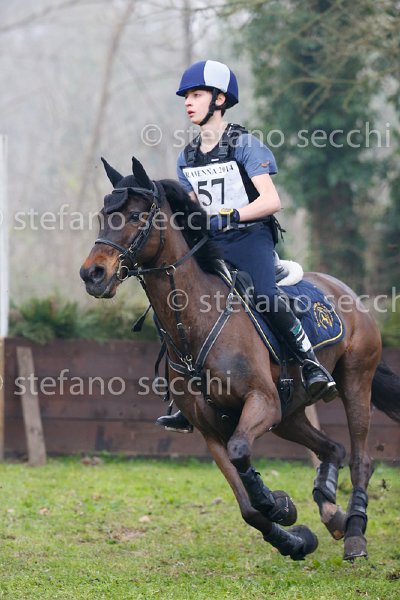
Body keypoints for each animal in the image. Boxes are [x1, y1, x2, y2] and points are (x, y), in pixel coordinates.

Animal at [80, 156, 400, 561]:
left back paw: (355, 534)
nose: (92, 274)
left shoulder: (260, 402)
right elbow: (247, 505)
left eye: (136, 216)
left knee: (360, 458)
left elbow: (241, 453)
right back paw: (331, 510)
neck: (194, 324)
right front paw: (294, 536)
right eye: (103, 215)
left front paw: (278, 504)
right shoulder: (210, 429)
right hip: (289, 415)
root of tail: (347, 292)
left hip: (355, 380)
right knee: (334, 448)